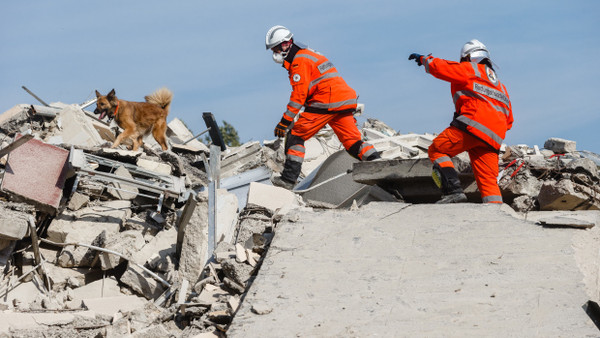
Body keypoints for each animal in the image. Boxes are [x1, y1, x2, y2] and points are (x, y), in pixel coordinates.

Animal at [410, 39, 512, 203]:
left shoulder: (464, 69)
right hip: (485, 148)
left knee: (437, 151)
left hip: (462, 135)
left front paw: (422, 58)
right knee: (487, 179)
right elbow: (510, 119)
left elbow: (443, 67)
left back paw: (455, 194)